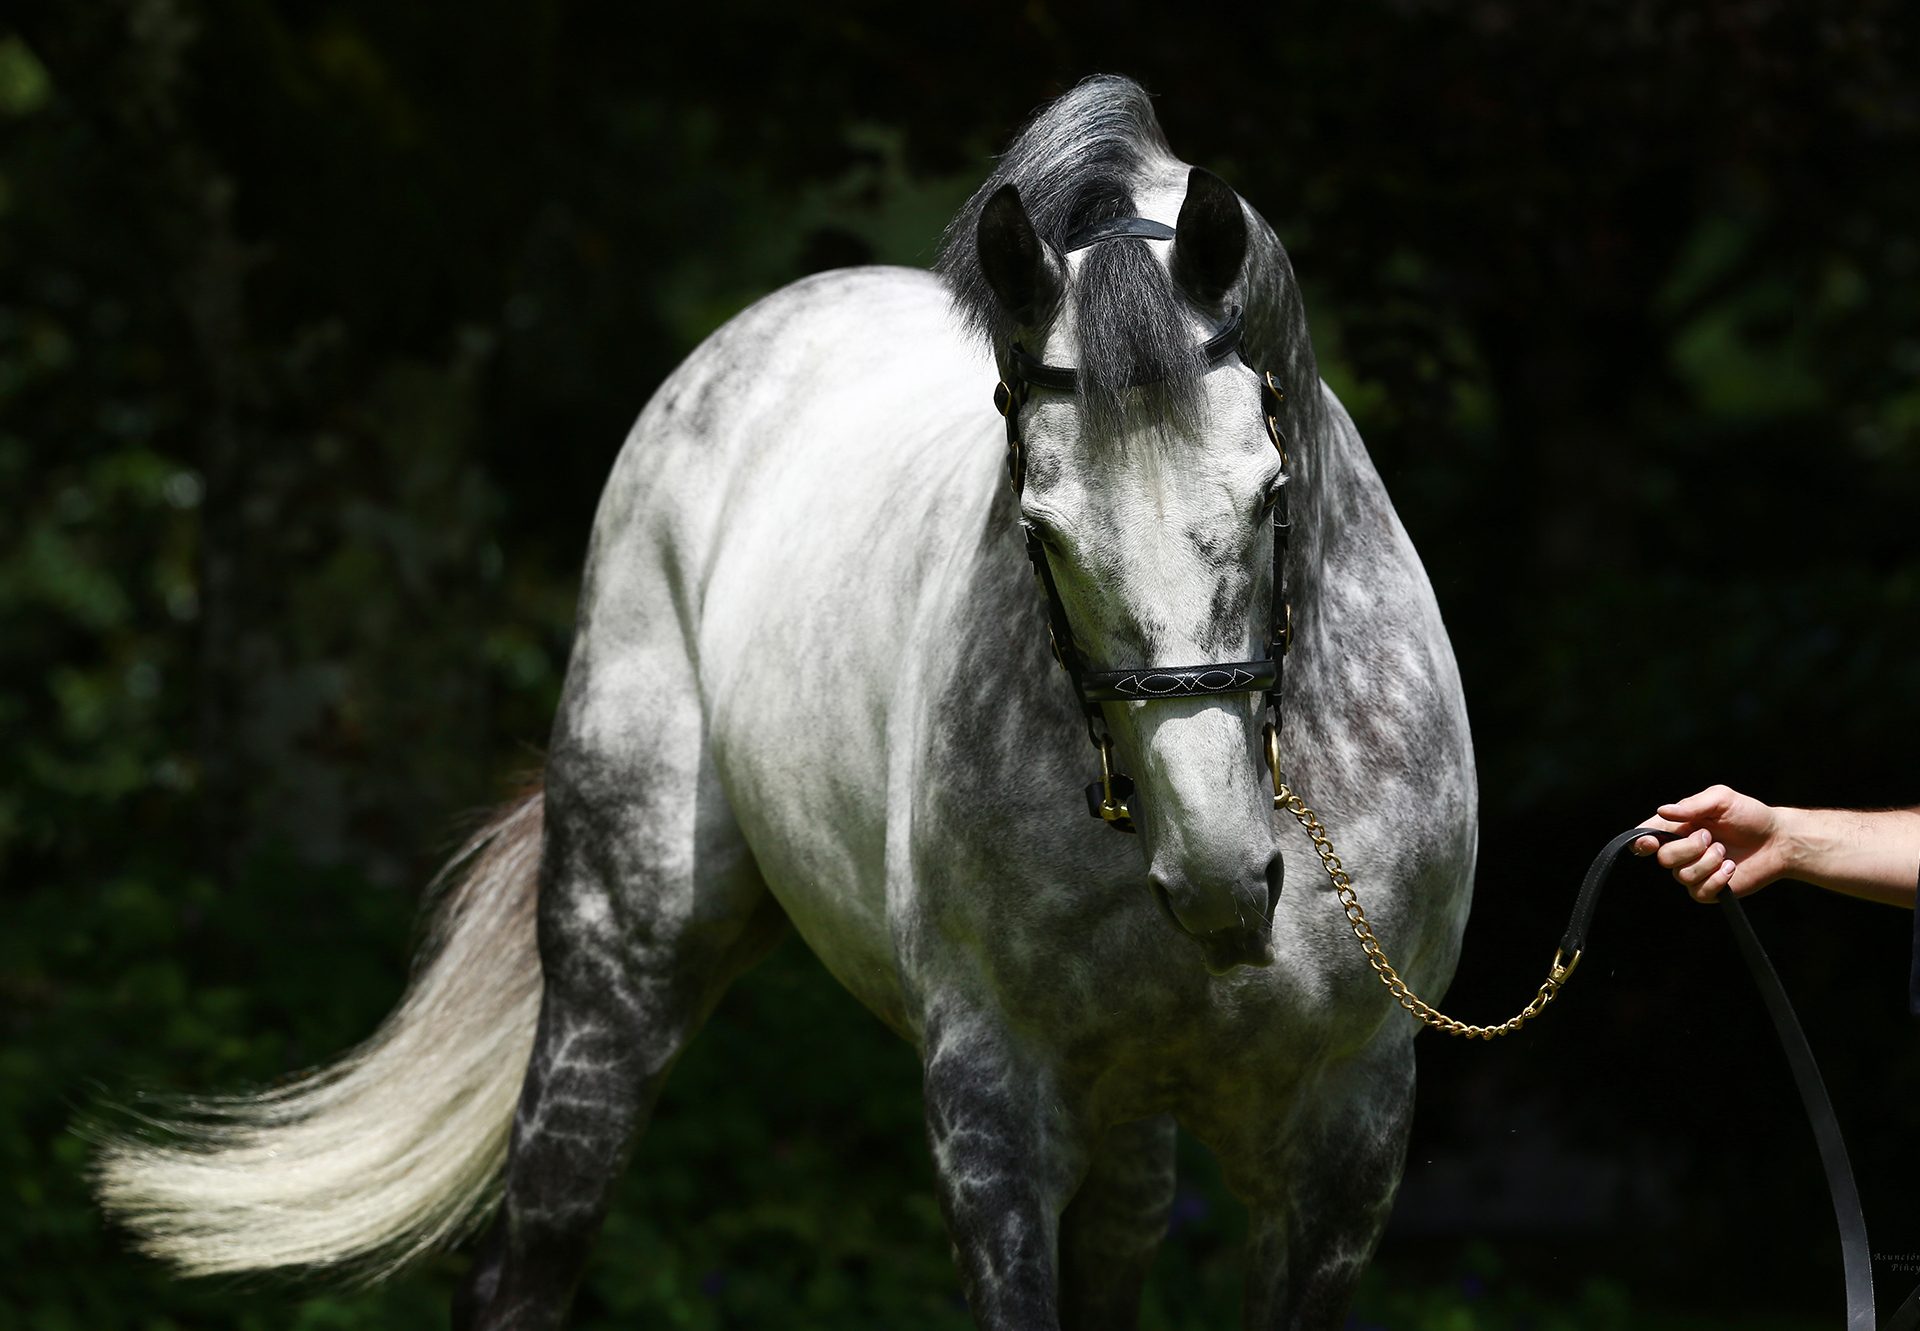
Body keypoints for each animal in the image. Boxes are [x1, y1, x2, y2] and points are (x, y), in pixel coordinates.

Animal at [97, 75, 1474, 1329]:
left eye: (1270, 490)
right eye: (1038, 527)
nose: (1221, 877)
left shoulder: (1349, 1131)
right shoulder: (991, 1104)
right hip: (619, 969)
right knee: (523, 1269)